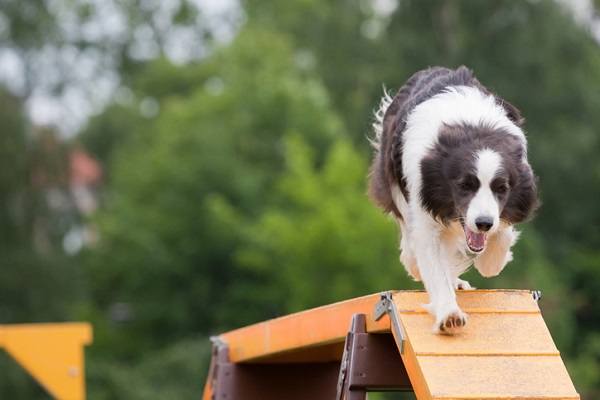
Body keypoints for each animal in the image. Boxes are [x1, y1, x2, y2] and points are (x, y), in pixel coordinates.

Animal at [366, 65, 540, 334]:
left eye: (501, 188)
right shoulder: (423, 202)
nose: (483, 223)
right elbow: (433, 262)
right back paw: (415, 263)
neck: (474, 131)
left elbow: (502, 236)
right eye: (464, 185)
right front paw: (449, 315)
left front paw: (489, 262)